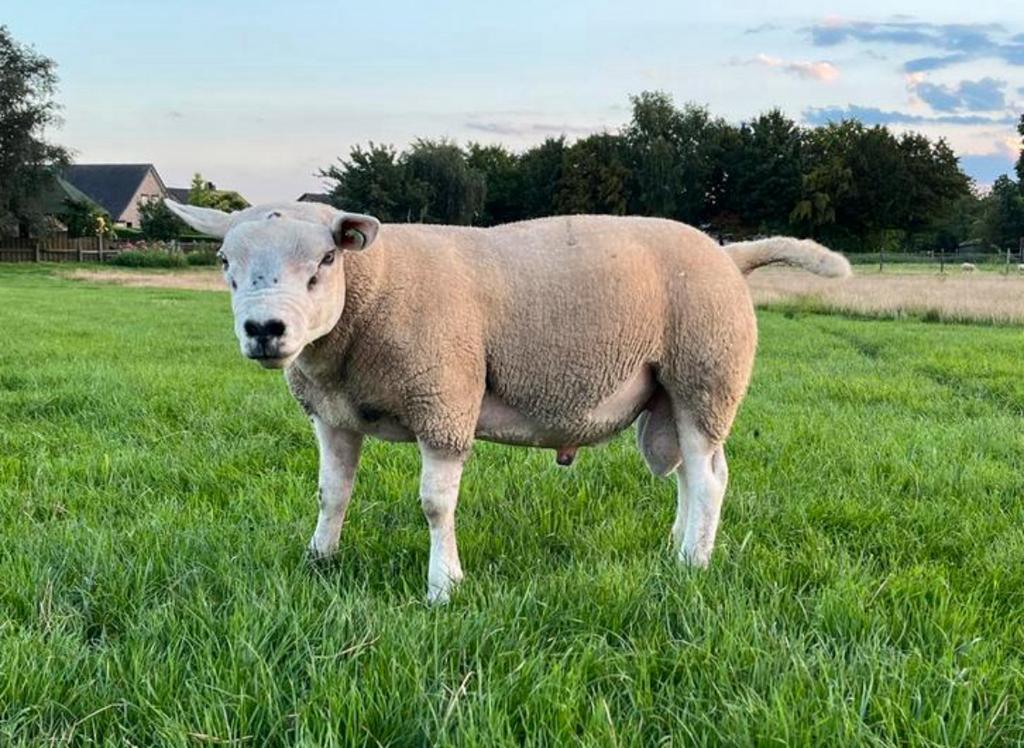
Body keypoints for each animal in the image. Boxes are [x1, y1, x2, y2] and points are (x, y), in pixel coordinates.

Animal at [166, 199, 850, 603]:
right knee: (691, 475)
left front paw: (444, 586)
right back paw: (677, 547)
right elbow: (332, 493)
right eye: (223, 260)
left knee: (709, 480)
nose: (264, 329)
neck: (372, 293)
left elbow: (435, 505)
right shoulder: (333, 416)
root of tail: (732, 254)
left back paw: (693, 564)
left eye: (327, 258)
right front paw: (320, 560)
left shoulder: (444, 401)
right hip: (673, 393)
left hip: (705, 373)